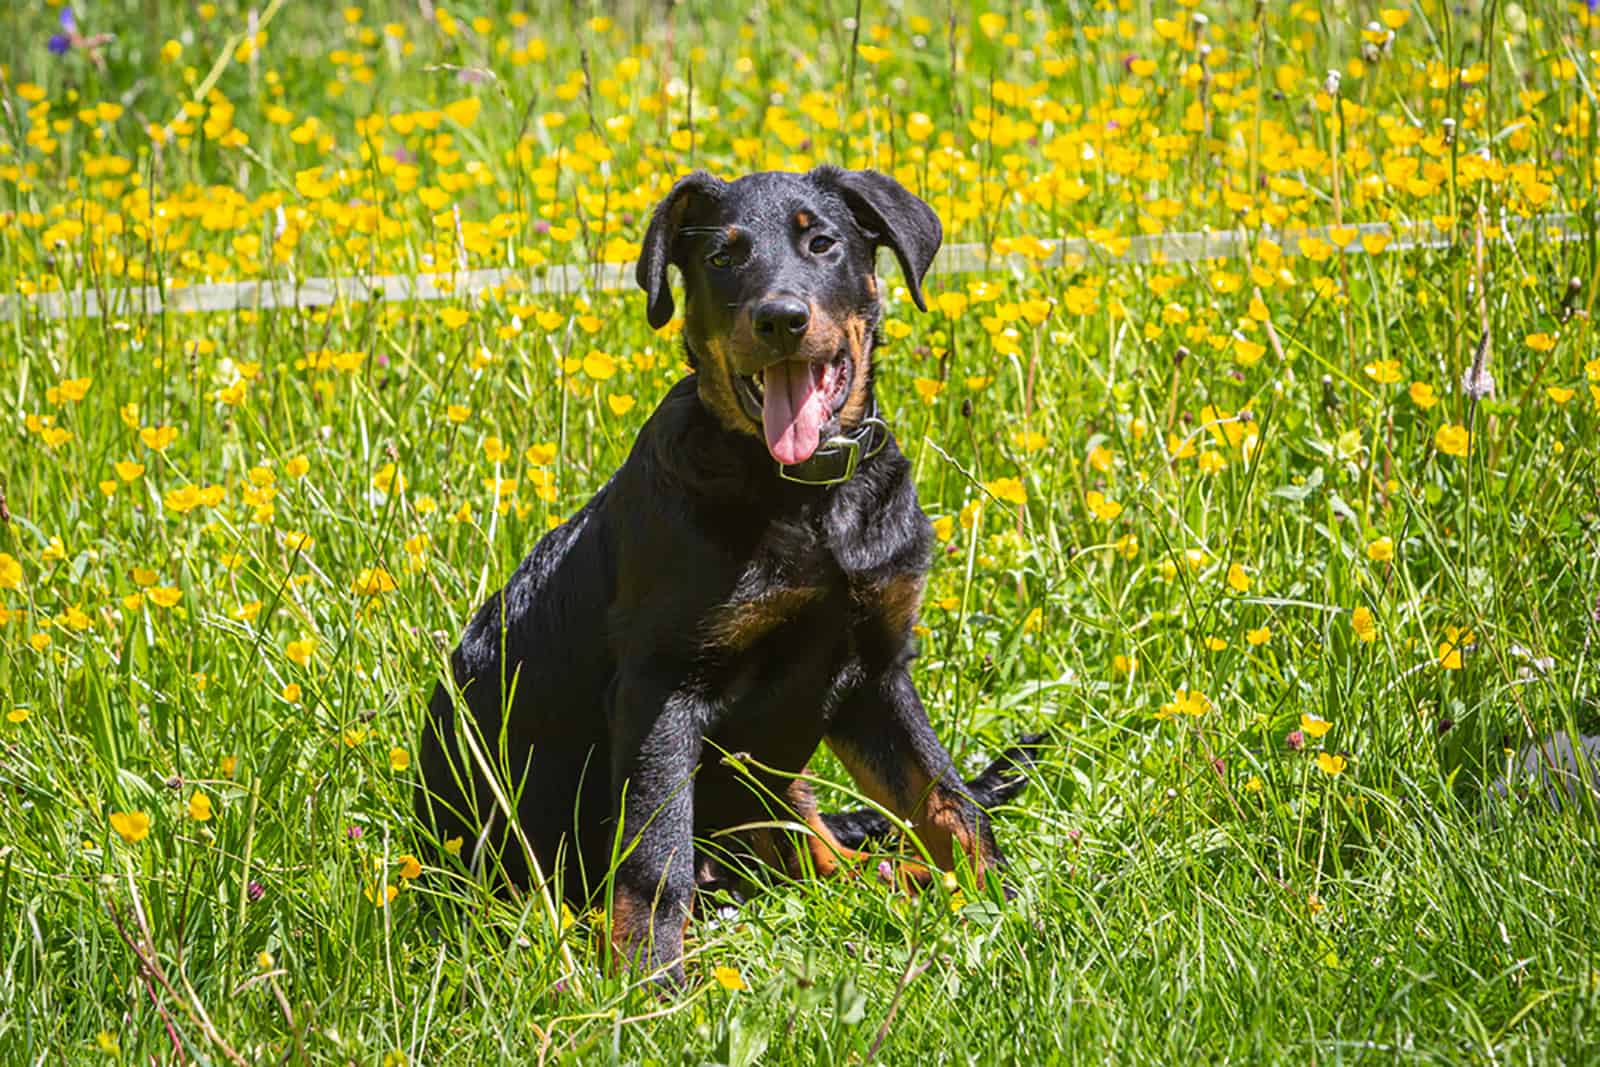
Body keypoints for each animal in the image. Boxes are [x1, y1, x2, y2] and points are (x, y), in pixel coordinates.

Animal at [416, 164, 1036, 985]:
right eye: (722, 257)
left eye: (823, 242)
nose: (780, 319)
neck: (807, 499)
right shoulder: (663, 688)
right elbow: (655, 853)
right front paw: (650, 981)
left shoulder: (876, 671)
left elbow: (946, 799)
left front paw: (1006, 902)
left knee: (820, 855)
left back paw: (901, 878)